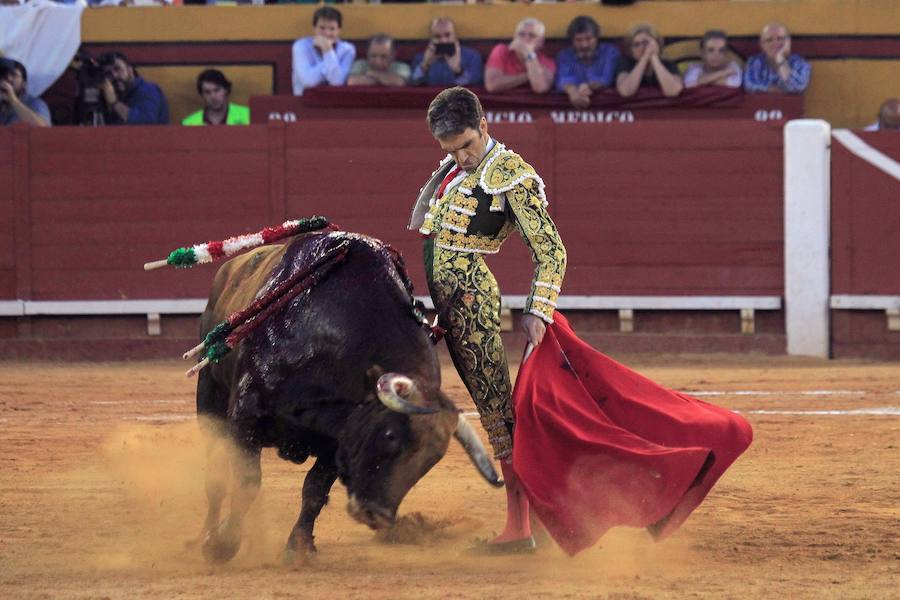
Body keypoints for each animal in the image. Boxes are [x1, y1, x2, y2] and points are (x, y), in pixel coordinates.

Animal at [195, 227, 500, 564]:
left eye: (432, 459)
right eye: (390, 435)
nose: (377, 514)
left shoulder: (339, 438)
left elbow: (314, 490)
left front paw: (299, 548)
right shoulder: (246, 418)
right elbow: (246, 482)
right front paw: (222, 544)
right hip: (209, 397)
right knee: (214, 477)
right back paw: (204, 536)